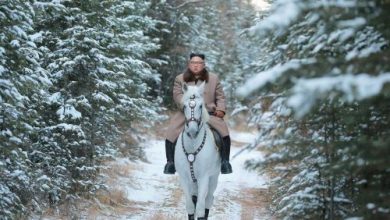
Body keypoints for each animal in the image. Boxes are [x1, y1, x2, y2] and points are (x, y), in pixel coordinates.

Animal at [175, 82, 221, 220]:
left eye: (201, 106)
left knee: (208, 200)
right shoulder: (184, 178)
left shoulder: (204, 177)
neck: (192, 146)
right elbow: (190, 205)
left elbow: (200, 208)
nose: (192, 131)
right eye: (184, 106)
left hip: (214, 177)